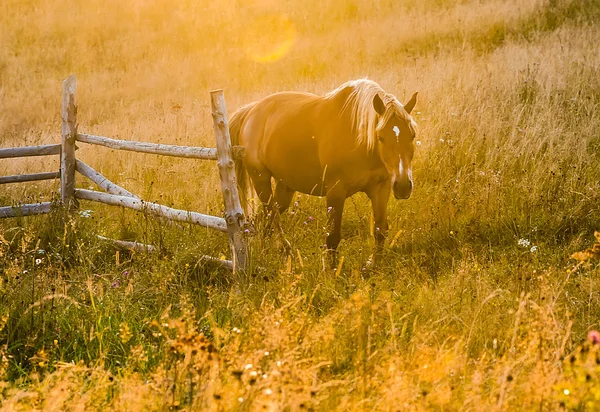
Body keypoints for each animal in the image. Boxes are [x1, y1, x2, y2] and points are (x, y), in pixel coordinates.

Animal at [230, 78, 418, 264]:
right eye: (381, 137)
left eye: (412, 135)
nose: (403, 186)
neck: (358, 140)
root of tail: (250, 111)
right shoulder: (336, 192)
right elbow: (333, 237)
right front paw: (331, 269)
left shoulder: (381, 189)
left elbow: (380, 230)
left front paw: (373, 265)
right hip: (260, 178)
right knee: (271, 214)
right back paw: (282, 249)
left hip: (285, 186)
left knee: (266, 218)